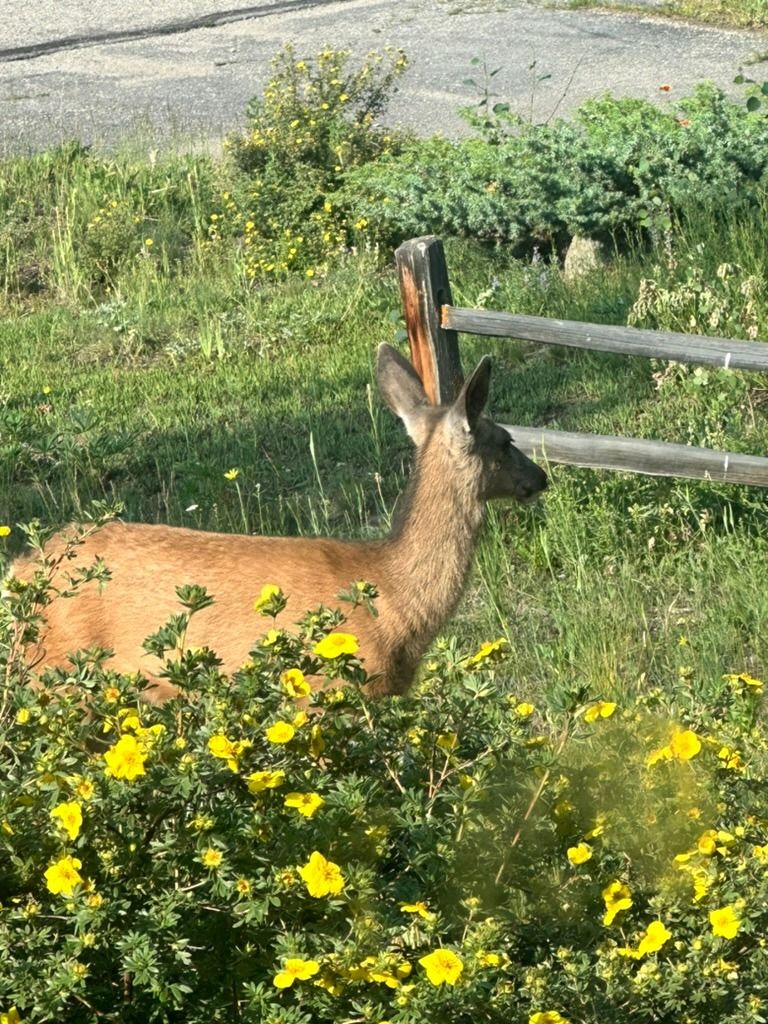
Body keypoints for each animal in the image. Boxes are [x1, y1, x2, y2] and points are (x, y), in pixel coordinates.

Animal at [10, 343, 547, 699]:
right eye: (506, 439)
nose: (539, 477)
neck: (393, 602)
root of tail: (21, 570)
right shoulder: (326, 694)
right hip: (60, 672)